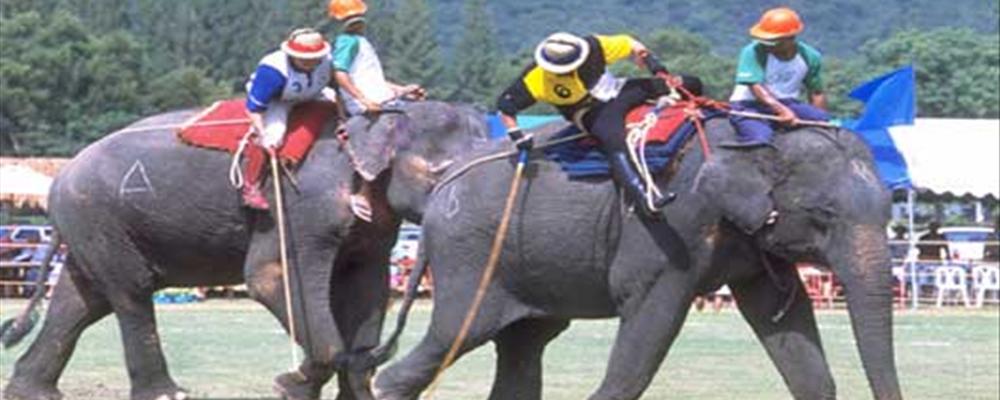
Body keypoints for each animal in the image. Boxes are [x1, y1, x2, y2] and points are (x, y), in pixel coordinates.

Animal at [0, 101, 489, 400]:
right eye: (440, 171)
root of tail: (60, 179)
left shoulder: (374, 230)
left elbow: (367, 291)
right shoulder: (298, 204)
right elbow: (272, 276)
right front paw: (290, 385)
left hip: (91, 226)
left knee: (81, 302)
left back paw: (32, 392)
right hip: (98, 217)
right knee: (130, 291)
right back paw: (168, 393)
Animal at [371, 118, 902, 399]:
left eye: (891, 208)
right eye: (824, 213)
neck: (756, 132)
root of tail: (439, 190)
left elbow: (784, 318)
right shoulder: (669, 226)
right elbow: (650, 313)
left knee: (524, 344)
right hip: (471, 255)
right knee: (452, 337)